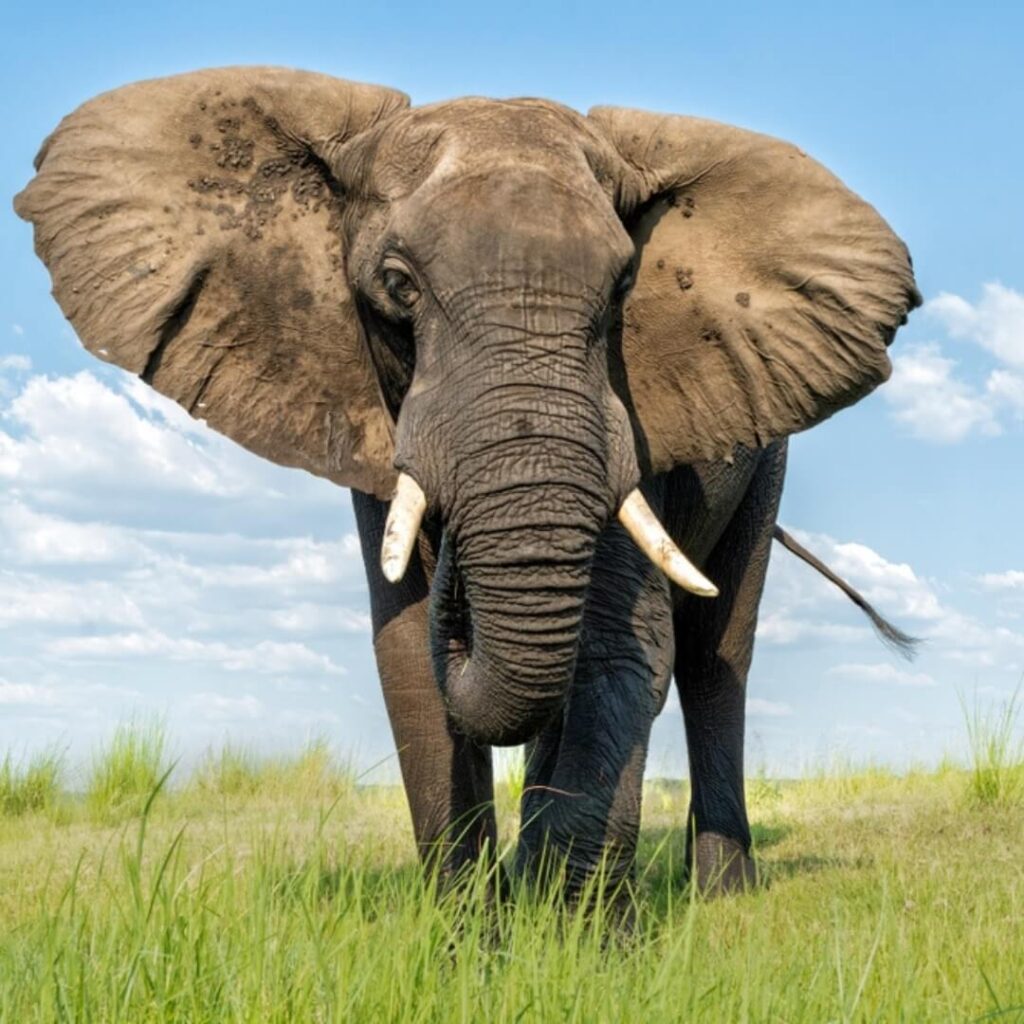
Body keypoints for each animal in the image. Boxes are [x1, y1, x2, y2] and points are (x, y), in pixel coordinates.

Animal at [15, 66, 920, 898]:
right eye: (397, 285)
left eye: (624, 287)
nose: (454, 560)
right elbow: (410, 661)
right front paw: (474, 943)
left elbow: (621, 646)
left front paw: (569, 943)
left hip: (767, 455)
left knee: (714, 657)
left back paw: (721, 895)